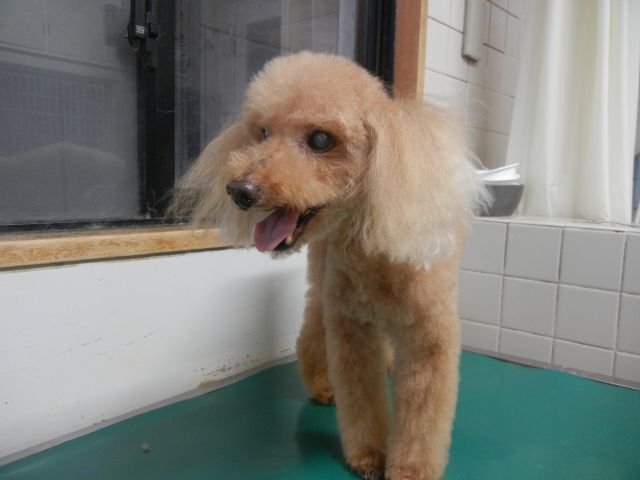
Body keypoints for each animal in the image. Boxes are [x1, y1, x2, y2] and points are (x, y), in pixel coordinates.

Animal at [171, 51, 486, 480]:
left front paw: (410, 468)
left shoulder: (429, 339)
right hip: (324, 284)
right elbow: (359, 397)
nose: (240, 190)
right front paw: (368, 455)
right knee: (311, 328)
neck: (373, 252)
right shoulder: (350, 328)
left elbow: (422, 416)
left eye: (321, 140)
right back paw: (321, 385)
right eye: (262, 133)